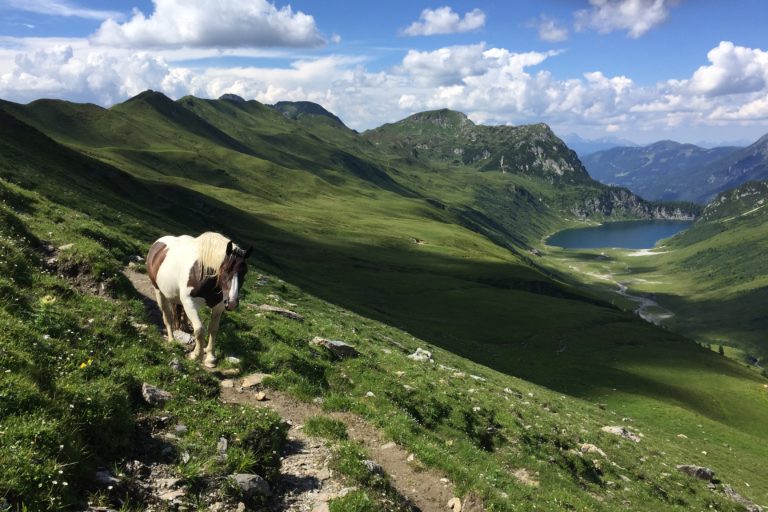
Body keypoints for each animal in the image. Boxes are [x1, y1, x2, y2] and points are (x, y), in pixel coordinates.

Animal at [145, 232, 252, 368]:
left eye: (244, 272)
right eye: (226, 269)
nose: (232, 302)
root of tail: (158, 243)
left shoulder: (219, 306)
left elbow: (213, 329)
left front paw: (210, 358)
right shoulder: (190, 303)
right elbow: (200, 330)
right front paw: (196, 355)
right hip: (159, 291)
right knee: (167, 316)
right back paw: (171, 339)